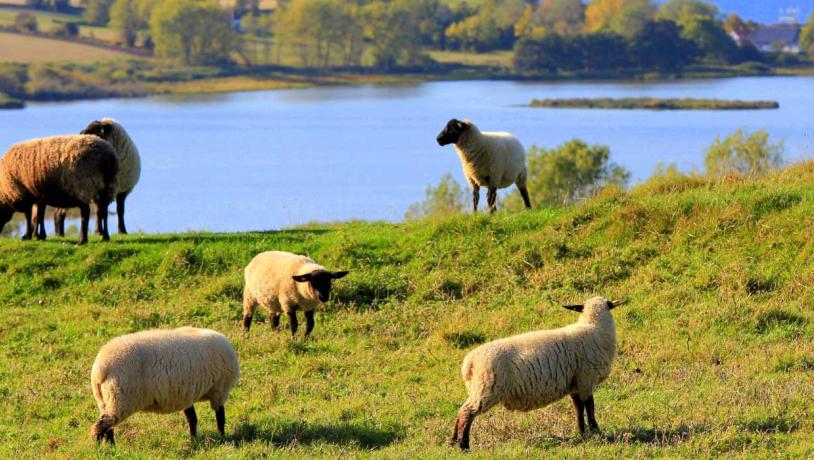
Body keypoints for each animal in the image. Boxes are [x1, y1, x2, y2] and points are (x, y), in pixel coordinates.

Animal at [92, 326, 241, 444]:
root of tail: (100, 368)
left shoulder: (186, 394)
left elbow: (192, 419)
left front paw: (194, 440)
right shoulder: (219, 390)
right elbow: (220, 417)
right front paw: (222, 437)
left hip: (105, 400)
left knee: (108, 427)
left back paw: (111, 448)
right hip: (120, 398)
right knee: (101, 426)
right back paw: (101, 450)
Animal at [452, 296, 624, 452]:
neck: (593, 326)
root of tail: (469, 363)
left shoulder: (575, 383)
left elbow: (578, 408)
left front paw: (582, 431)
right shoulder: (586, 379)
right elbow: (590, 406)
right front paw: (595, 431)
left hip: (479, 387)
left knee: (461, 411)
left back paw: (453, 442)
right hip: (487, 387)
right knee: (467, 412)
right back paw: (464, 446)